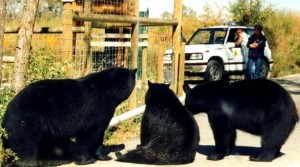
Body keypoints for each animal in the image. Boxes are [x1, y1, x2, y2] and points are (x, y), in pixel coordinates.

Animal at [1, 67, 137, 166]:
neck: (110, 91)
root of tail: (7, 111)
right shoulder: (97, 107)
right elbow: (89, 134)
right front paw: (86, 160)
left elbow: (99, 135)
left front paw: (103, 156)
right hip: (27, 121)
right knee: (26, 147)